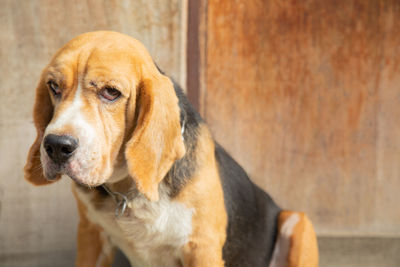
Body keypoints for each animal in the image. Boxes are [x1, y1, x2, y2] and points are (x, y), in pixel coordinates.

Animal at [25, 30, 318, 266]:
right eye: (53, 86)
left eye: (111, 92)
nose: (56, 146)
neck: (128, 191)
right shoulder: (91, 234)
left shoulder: (202, 248)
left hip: (298, 222)